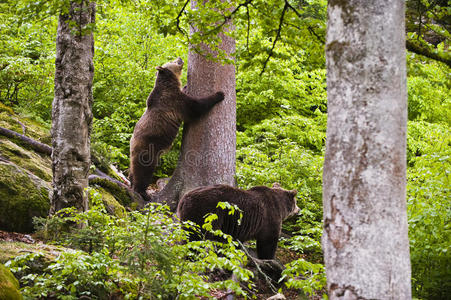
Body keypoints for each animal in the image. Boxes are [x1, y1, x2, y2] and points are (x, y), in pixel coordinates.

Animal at [129, 57, 224, 200]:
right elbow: (196, 107)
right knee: (143, 170)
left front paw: (186, 86)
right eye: (172, 60)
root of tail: (132, 142)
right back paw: (142, 192)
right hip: (148, 148)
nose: (179, 58)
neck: (170, 84)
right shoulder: (174, 101)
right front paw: (219, 94)